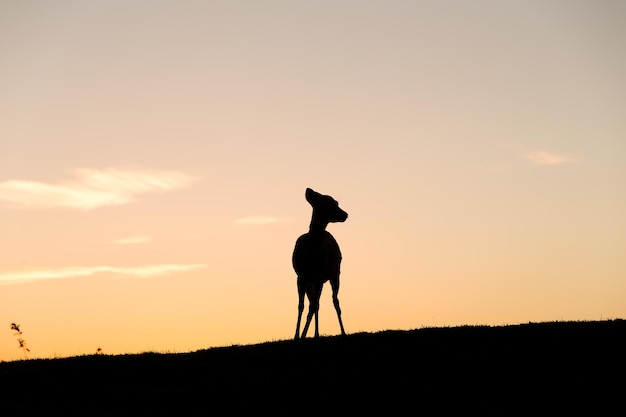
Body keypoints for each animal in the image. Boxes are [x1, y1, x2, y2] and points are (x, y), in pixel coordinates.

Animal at [292, 186, 346, 338]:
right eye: (333, 203)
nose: (346, 214)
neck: (311, 254)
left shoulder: (319, 277)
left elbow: (317, 305)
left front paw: (316, 334)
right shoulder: (301, 276)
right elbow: (301, 305)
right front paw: (296, 335)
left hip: (334, 274)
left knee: (334, 301)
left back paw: (343, 331)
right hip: (311, 282)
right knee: (312, 304)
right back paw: (303, 334)